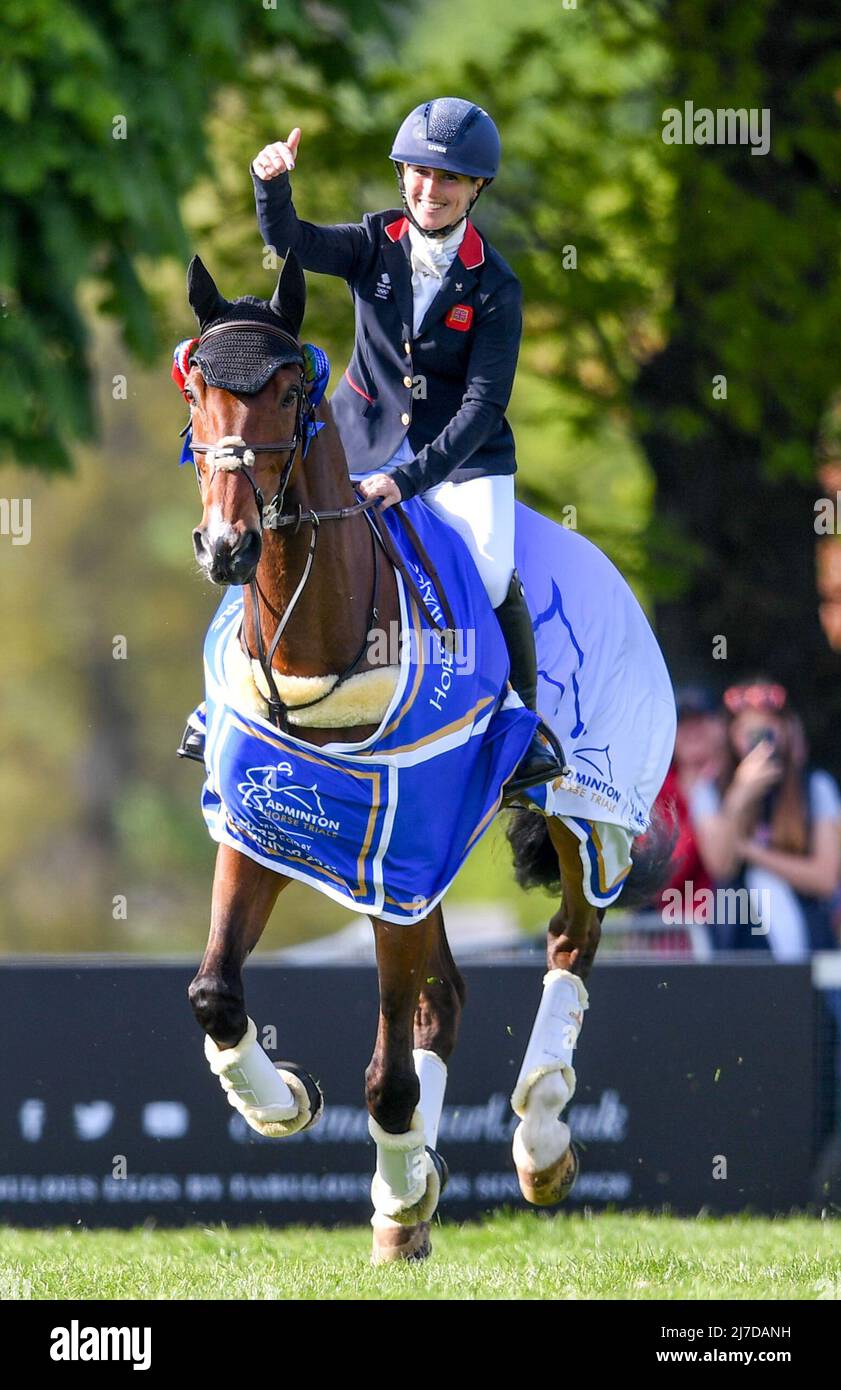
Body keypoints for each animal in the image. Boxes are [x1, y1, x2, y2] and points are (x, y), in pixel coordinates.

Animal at [179, 247, 675, 1262]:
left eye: (288, 390)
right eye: (197, 387)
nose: (227, 546)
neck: (315, 649)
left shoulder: (400, 848)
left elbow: (388, 1076)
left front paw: (402, 1169)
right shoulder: (276, 833)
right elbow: (216, 992)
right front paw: (288, 1104)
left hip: (588, 817)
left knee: (570, 941)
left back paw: (539, 1140)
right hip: (426, 862)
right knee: (442, 997)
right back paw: (403, 1205)